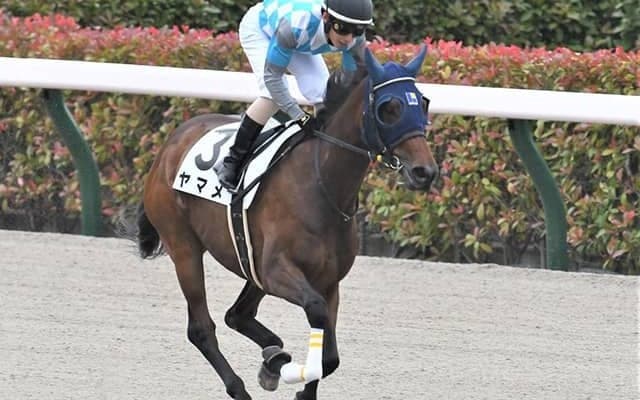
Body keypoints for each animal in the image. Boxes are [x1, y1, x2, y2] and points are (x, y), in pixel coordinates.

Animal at [136, 45, 438, 400]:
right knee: (201, 327)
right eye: (389, 107)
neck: (320, 184)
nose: (425, 171)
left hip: (249, 263)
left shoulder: (328, 281)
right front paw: (290, 373)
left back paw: (273, 356)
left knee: (237, 315)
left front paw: (290, 378)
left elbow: (329, 356)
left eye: (424, 102)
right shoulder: (277, 271)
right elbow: (317, 315)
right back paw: (242, 386)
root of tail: (169, 145)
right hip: (184, 248)